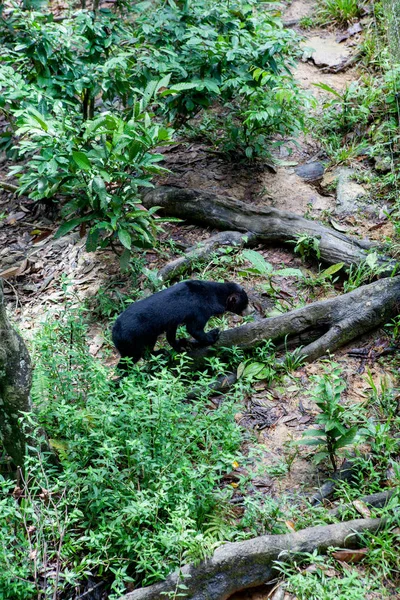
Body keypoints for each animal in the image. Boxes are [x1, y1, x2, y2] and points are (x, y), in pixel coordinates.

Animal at [112, 280, 248, 366]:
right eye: (245, 304)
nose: (249, 311)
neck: (213, 293)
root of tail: (114, 334)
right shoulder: (200, 313)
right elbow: (195, 330)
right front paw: (214, 334)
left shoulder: (172, 323)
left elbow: (171, 337)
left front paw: (182, 345)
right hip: (132, 346)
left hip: (149, 337)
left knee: (147, 352)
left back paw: (161, 353)